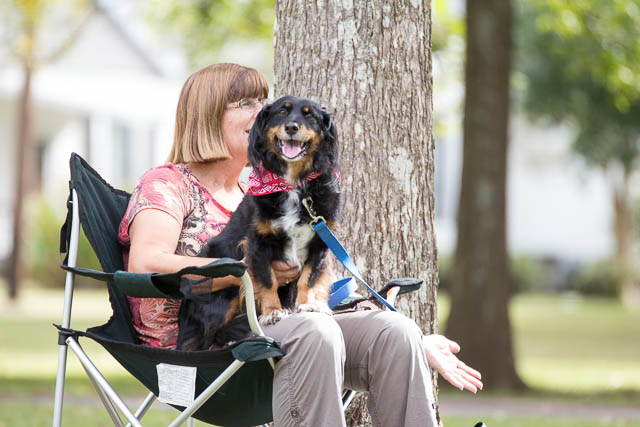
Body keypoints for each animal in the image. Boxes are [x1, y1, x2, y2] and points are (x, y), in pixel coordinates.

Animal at [176, 97, 340, 352]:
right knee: (206, 338)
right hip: (223, 293)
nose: (291, 127)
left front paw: (307, 305)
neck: (293, 185)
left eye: (309, 115)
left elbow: (309, 278)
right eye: (282, 112)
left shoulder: (320, 241)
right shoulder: (258, 242)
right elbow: (267, 279)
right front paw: (272, 312)